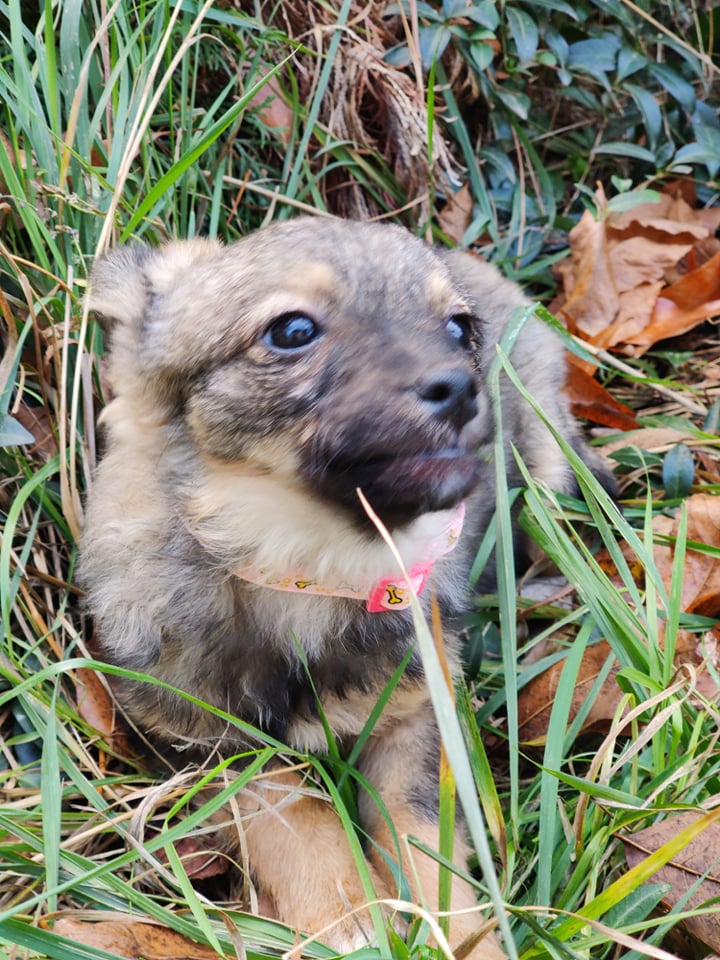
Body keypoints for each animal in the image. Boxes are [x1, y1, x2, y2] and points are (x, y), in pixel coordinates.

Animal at [79, 221, 608, 956]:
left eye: (458, 329)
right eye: (292, 329)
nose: (461, 387)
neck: (311, 569)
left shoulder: (415, 717)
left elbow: (423, 838)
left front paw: (458, 932)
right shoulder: (209, 744)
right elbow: (291, 812)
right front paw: (345, 915)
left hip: (545, 466)